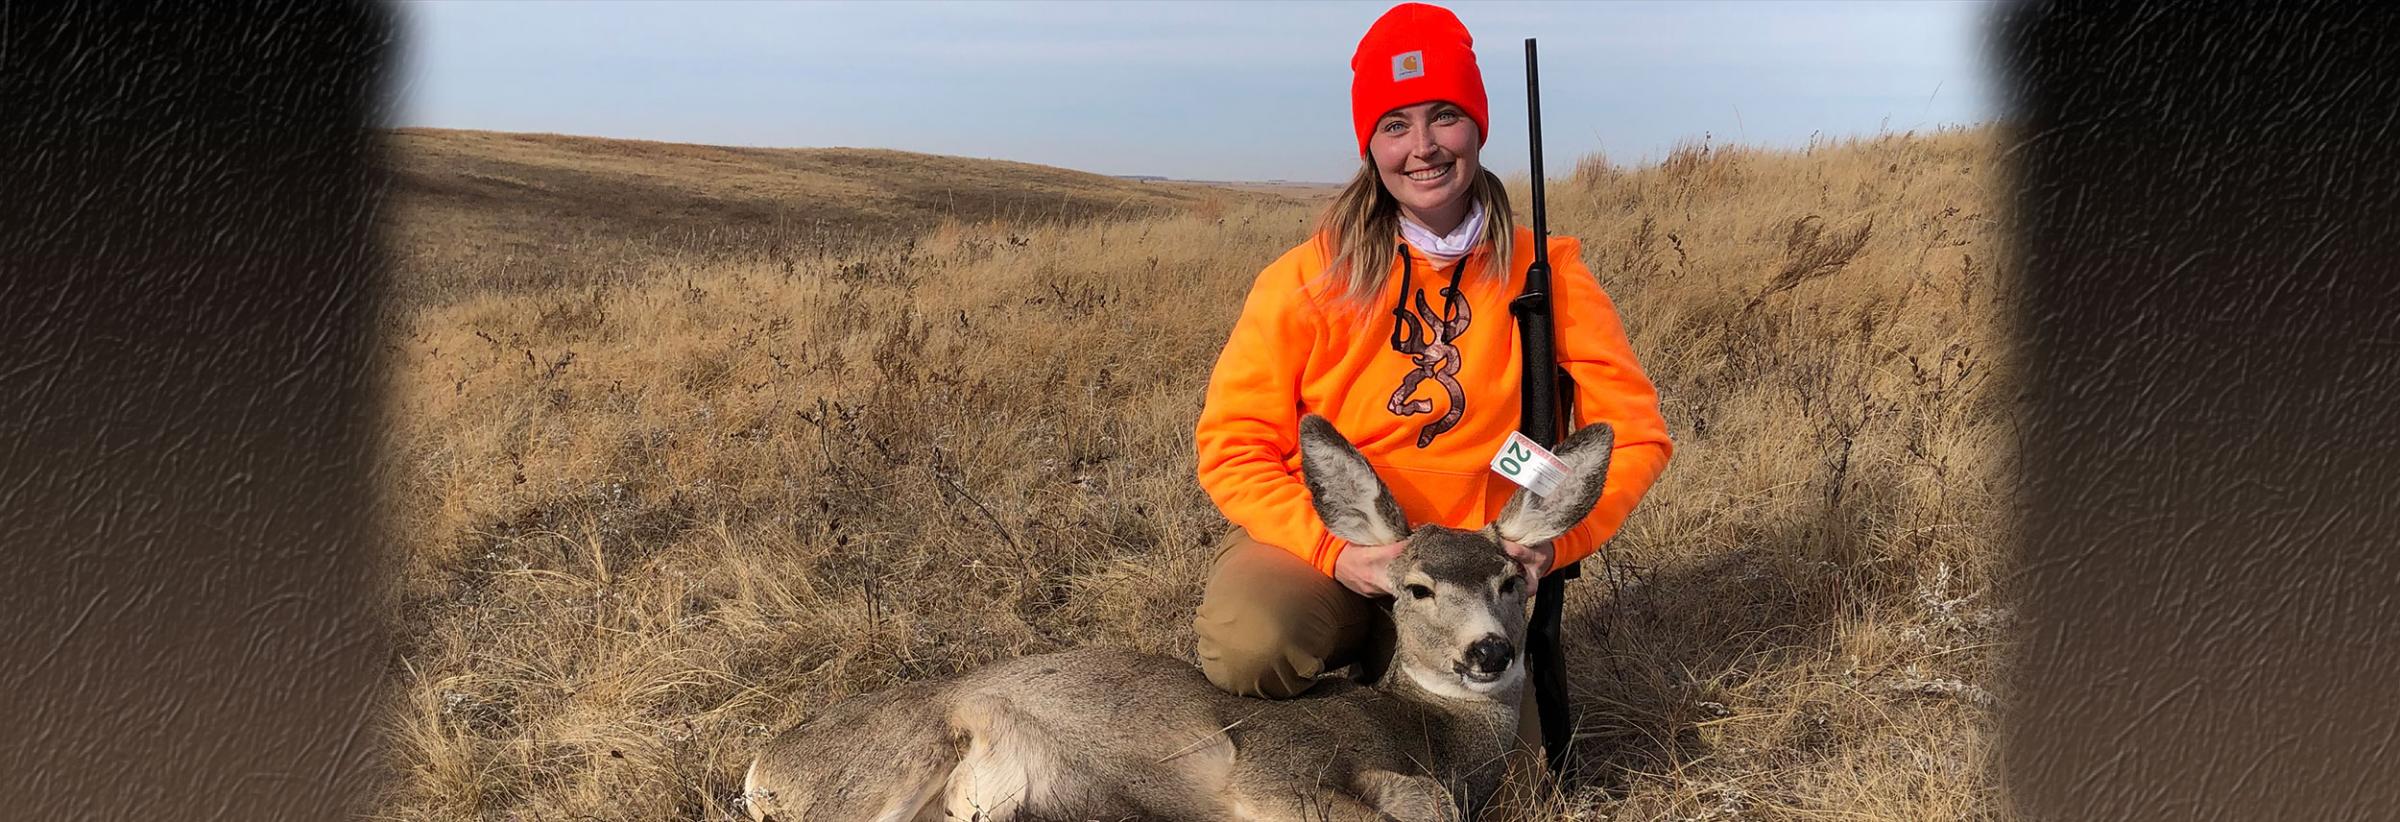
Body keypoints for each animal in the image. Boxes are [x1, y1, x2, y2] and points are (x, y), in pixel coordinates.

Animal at [739, 418, 1622, 821]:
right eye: (1417, 589)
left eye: (1511, 580)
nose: (1489, 652)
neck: (1425, 733)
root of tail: (762, 768)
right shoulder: (1277, 768)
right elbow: (1412, 806)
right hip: (891, 764)